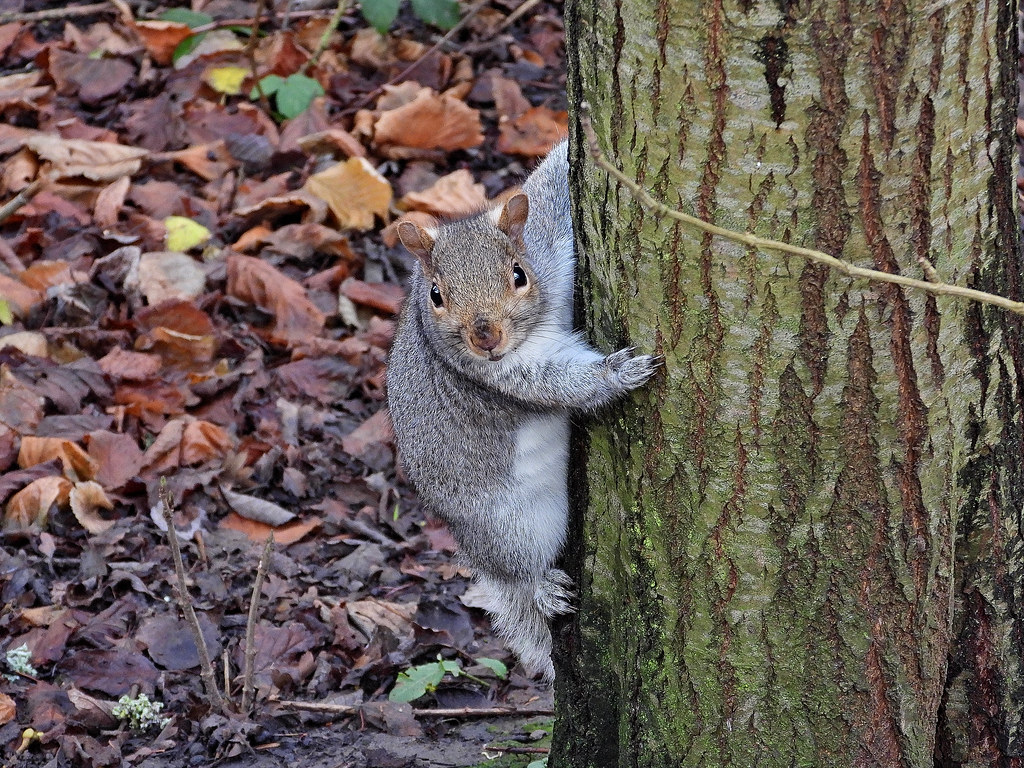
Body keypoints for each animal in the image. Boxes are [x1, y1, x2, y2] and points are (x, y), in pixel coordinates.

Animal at [385, 141, 657, 682]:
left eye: (518, 274)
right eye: (436, 295)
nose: (485, 337)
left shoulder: (550, 250)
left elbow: (550, 195)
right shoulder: (501, 379)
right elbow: (562, 384)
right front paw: (619, 374)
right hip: (512, 528)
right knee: (519, 572)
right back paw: (541, 587)